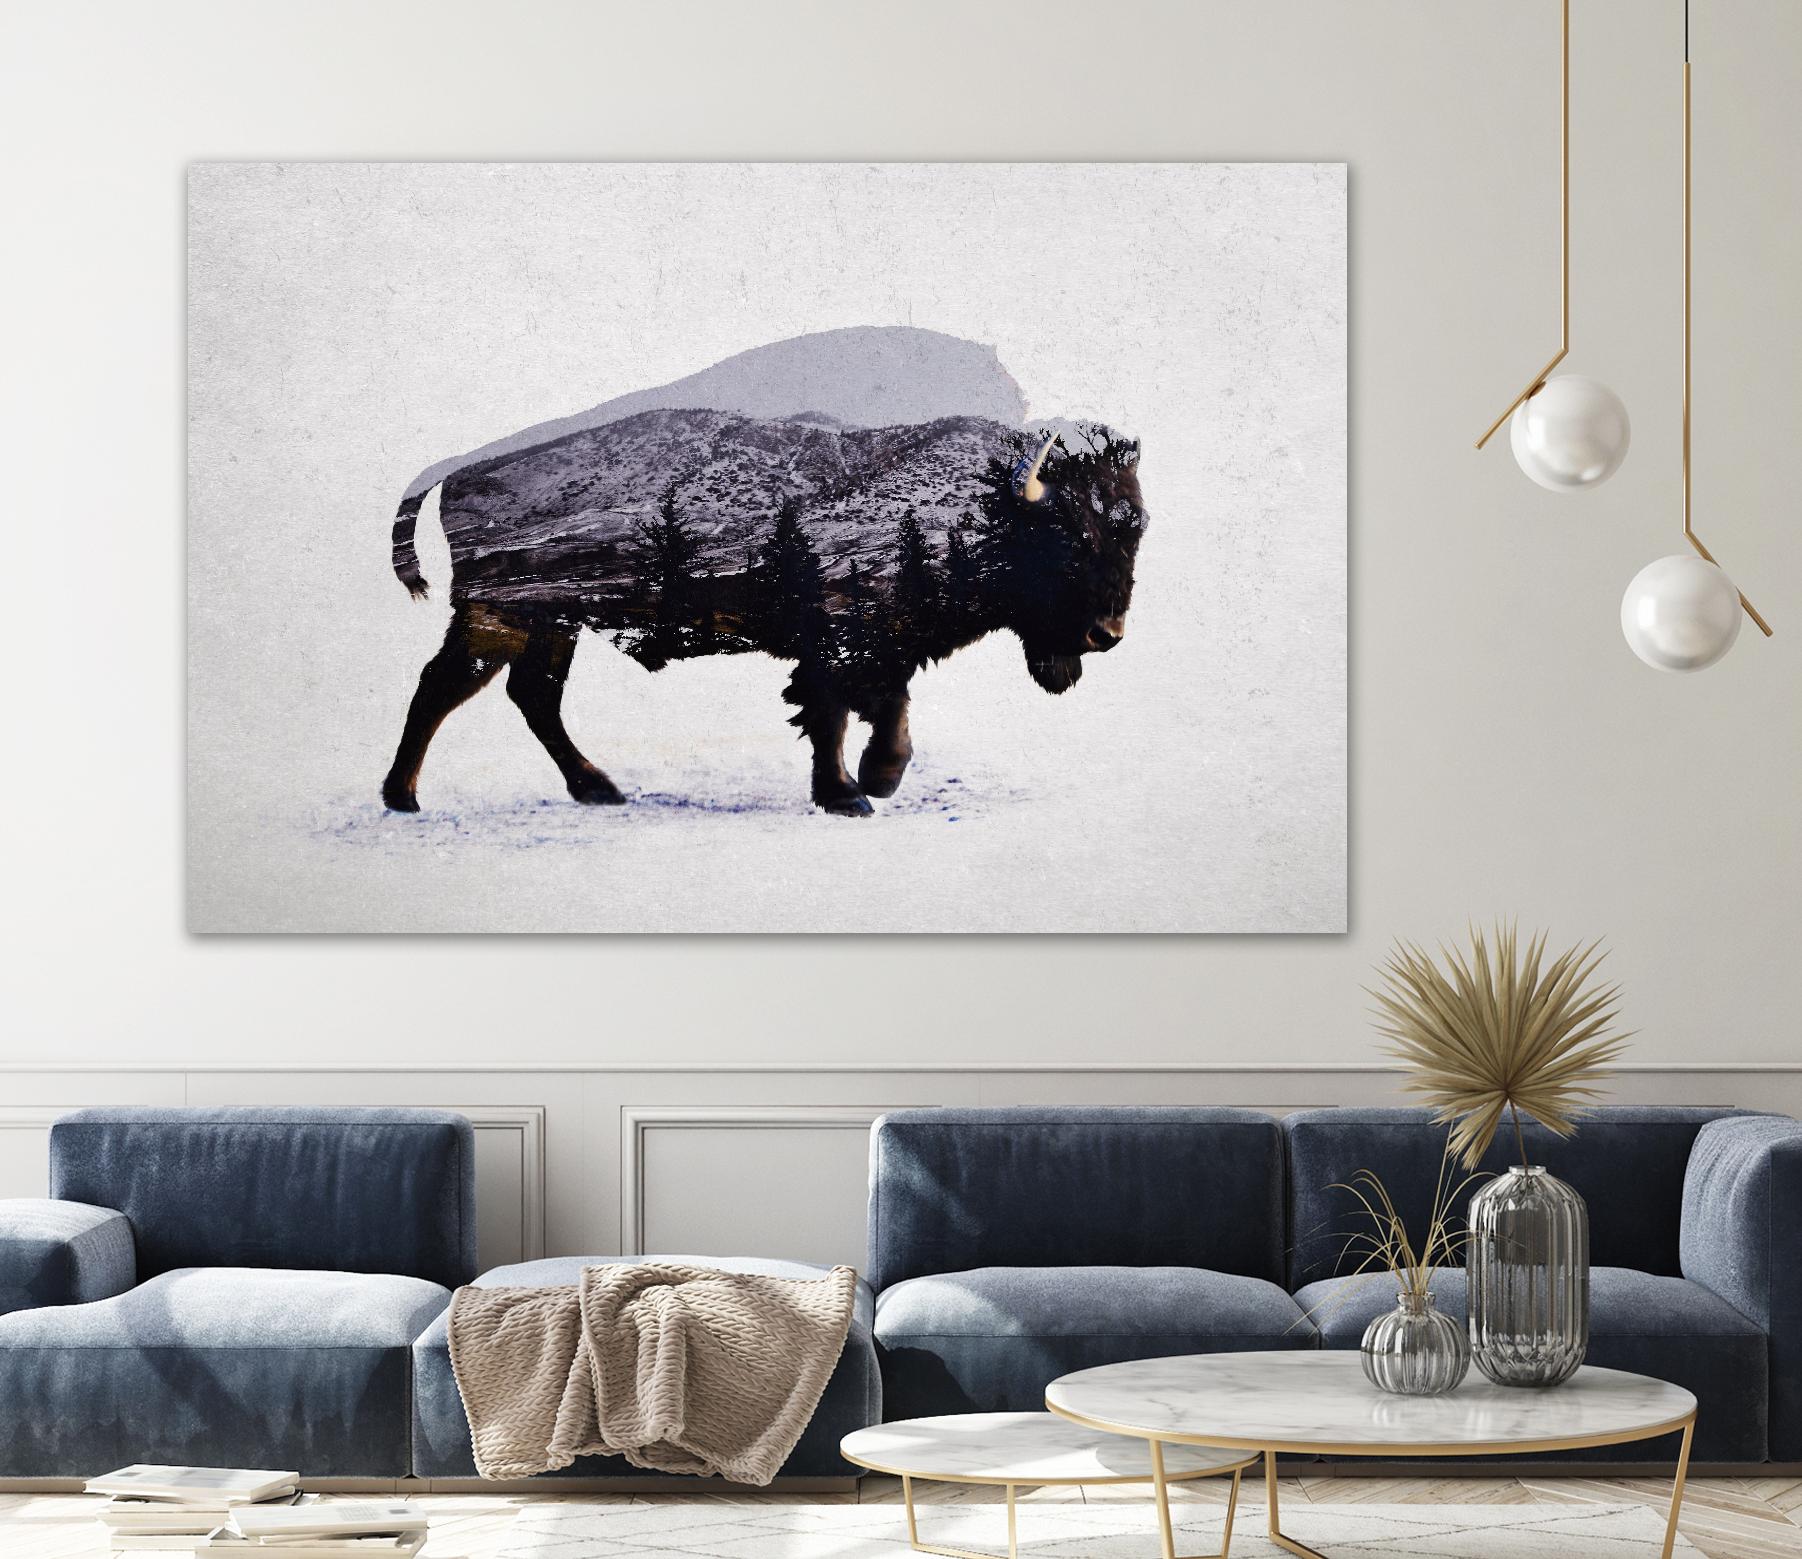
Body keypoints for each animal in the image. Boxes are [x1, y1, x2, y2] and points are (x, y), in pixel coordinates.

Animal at [383, 406, 1147, 816]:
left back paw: (598, 788)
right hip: (498, 617)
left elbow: (888, 711)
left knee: (532, 695)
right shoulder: (839, 642)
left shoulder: (883, 648)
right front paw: (850, 793)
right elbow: (833, 712)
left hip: (551, 623)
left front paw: (879, 778)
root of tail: (458, 468)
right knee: (444, 686)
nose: (1105, 634)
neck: (985, 501)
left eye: (1135, 528)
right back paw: (404, 797)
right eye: (1070, 537)